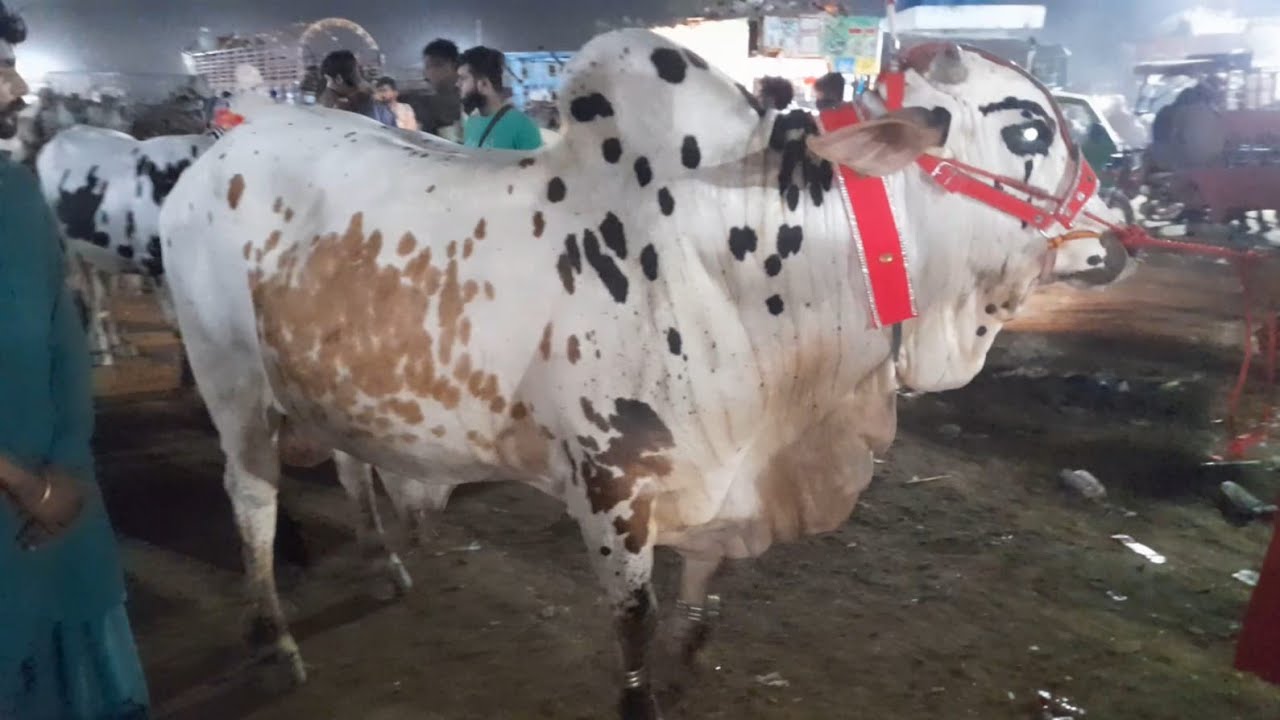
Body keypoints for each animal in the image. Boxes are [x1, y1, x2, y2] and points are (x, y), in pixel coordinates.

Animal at [159, 30, 1132, 718]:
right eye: (1025, 126)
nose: (1119, 235)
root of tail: (213, 155)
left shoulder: (727, 490)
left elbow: (699, 615)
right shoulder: (610, 486)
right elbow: (636, 631)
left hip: (323, 380)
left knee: (352, 463)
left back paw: (381, 562)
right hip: (232, 381)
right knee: (251, 498)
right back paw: (273, 640)